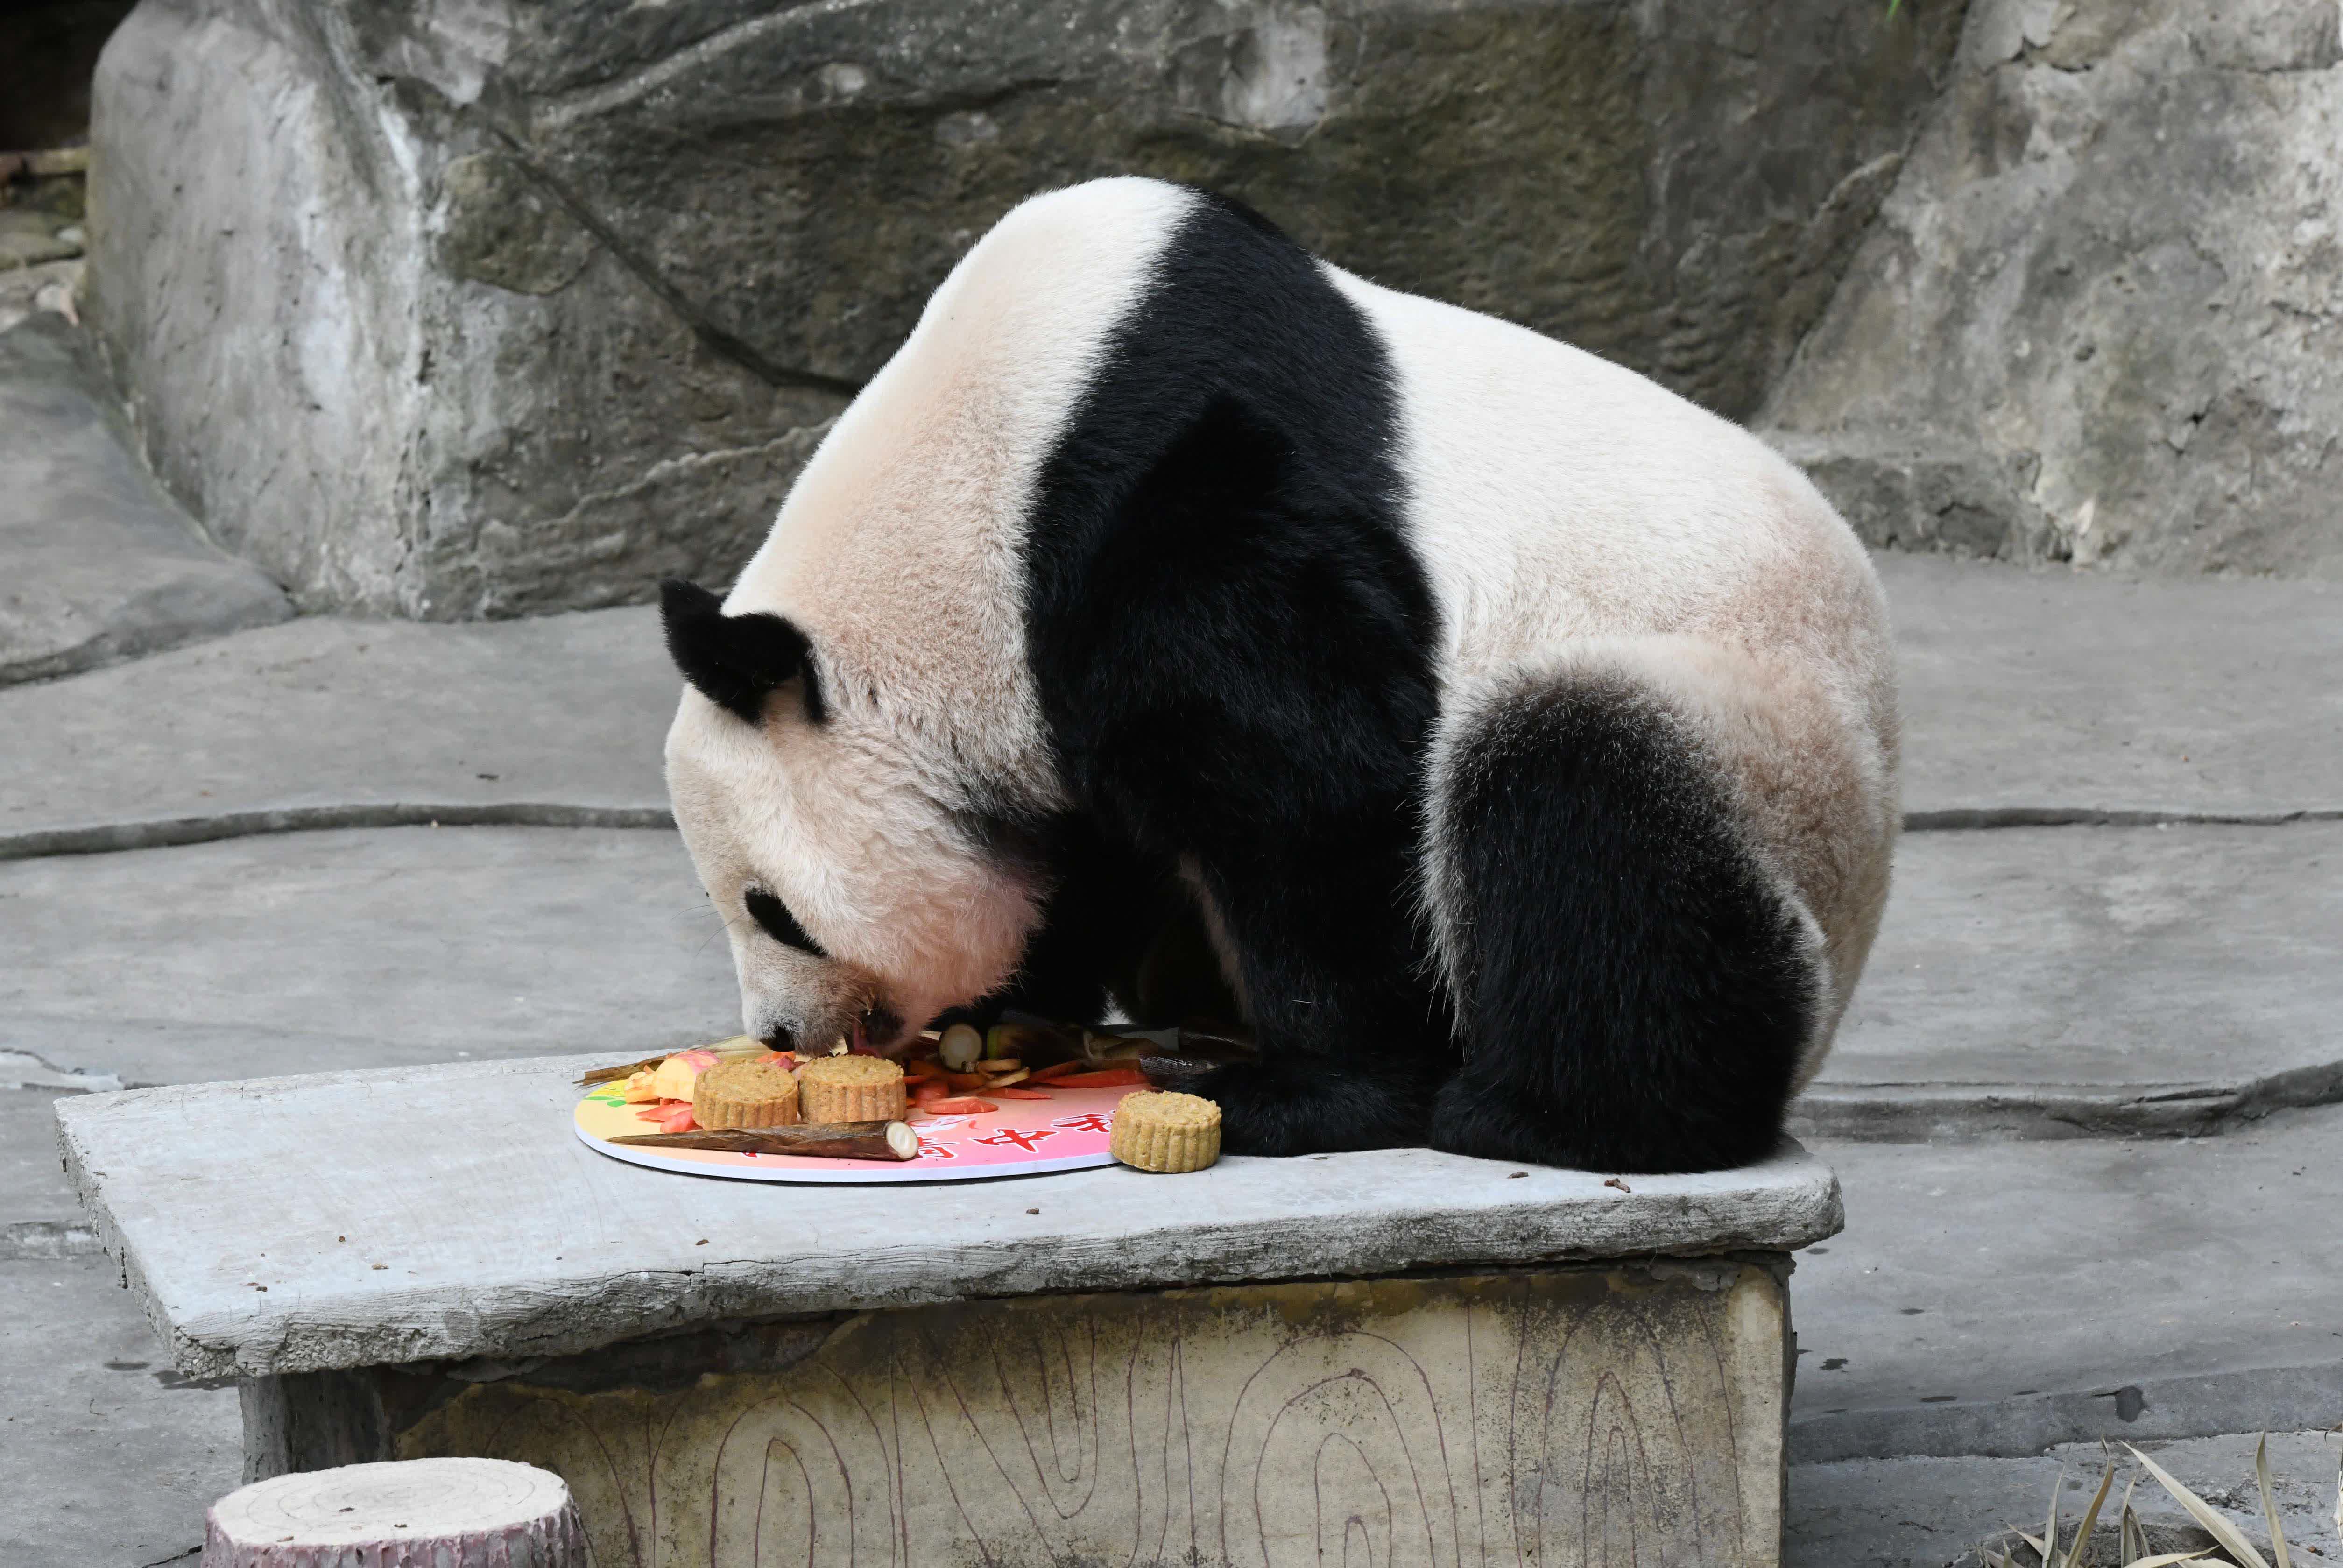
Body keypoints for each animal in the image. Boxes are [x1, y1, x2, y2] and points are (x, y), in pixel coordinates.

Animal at [661, 174, 1902, 1172]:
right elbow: (1096, 841)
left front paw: (1302, 1095)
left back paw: (1546, 1115)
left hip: (1767, 742)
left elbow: (1313, 798)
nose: (781, 1035)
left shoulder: (1179, 505)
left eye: (771, 910)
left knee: (1581, 787)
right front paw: (1018, 1004)